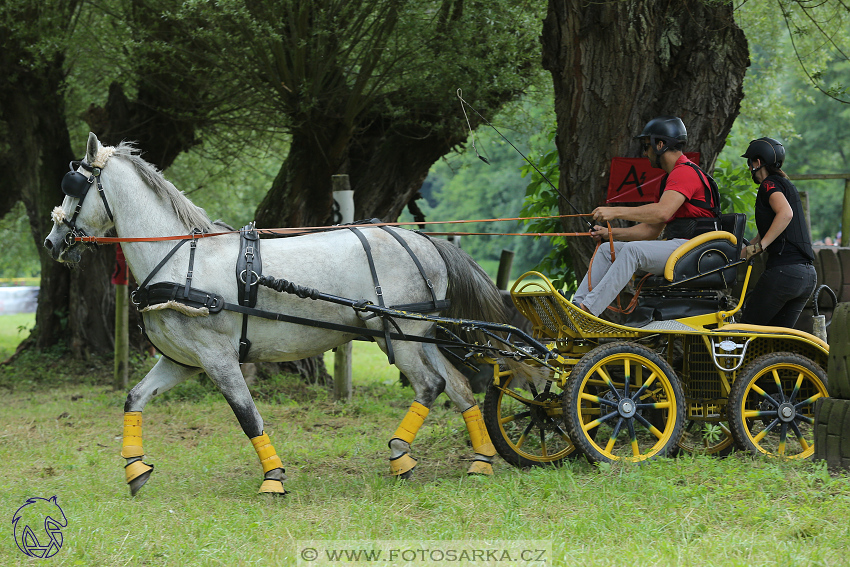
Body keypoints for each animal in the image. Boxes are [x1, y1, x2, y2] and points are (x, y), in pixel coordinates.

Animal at [44, 133, 504, 496]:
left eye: (74, 185)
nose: (52, 241)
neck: (179, 259)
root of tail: (424, 242)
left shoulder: (218, 359)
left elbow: (248, 417)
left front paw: (273, 478)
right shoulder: (182, 361)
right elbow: (134, 398)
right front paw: (135, 468)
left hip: (398, 334)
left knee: (431, 384)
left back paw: (401, 453)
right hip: (419, 336)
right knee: (460, 387)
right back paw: (481, 460)